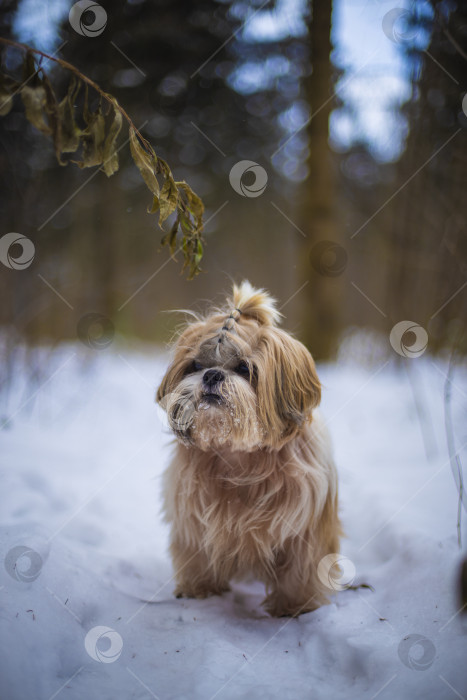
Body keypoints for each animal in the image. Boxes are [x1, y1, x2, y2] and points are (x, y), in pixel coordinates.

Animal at [155, 282, 342, 616]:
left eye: (244, 368)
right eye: (196, 365)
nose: (212, 374)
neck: (239, 453)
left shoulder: (305, 527)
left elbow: (301, 567)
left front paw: (293, 606)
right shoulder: (192, 520)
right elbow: (197, 556)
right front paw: (199, 590)